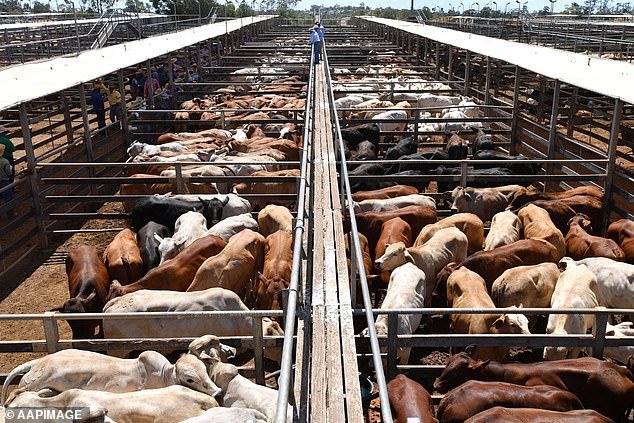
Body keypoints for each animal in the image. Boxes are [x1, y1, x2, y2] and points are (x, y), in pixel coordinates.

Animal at [1, 342, 220, 404]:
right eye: (190, 379)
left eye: (204, 368)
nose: (217, 391)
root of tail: (38, 362)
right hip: (33, 383)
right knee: (16, 393)